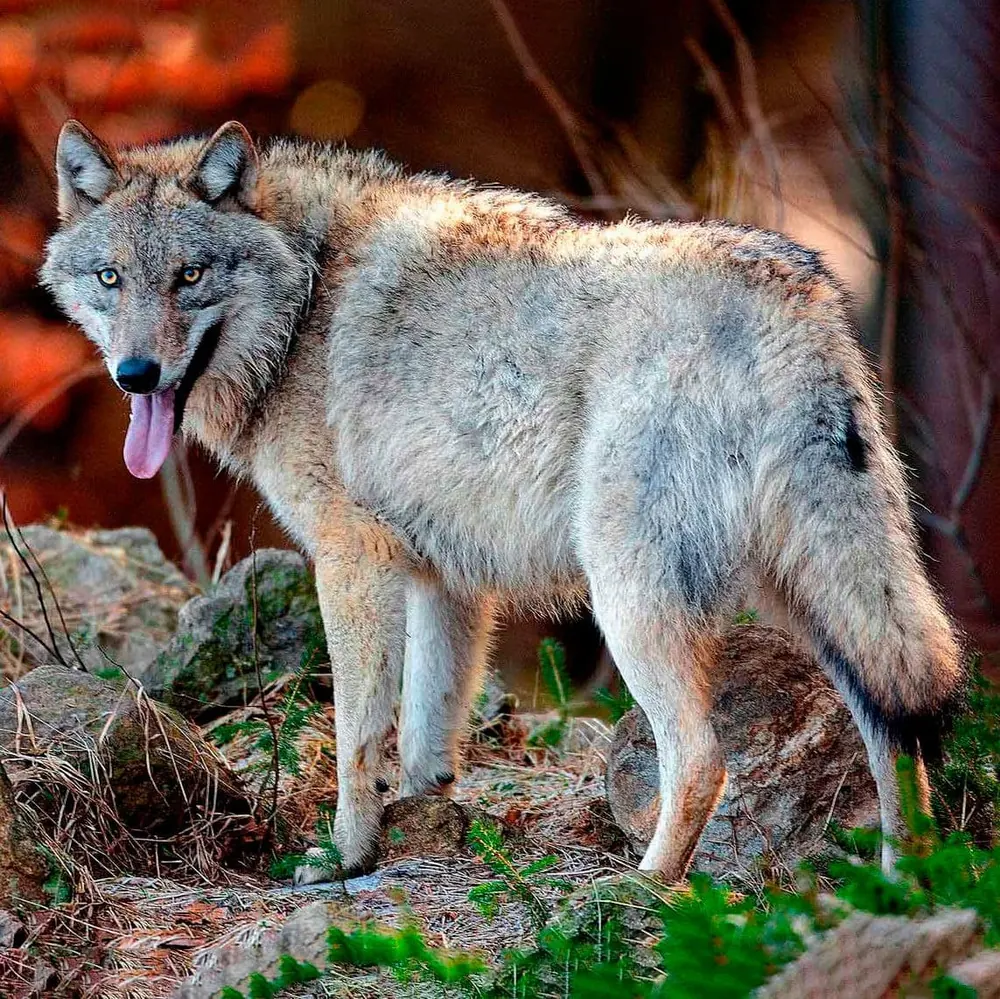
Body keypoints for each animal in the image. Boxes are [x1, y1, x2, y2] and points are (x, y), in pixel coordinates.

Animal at [41, 119, 962, 880]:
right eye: (111, 278)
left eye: (189, 276)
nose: (135, 375)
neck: (303, 299)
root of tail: (795, 299)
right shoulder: (443, 580)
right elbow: (426, 730)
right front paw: (420, 823)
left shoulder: (351, 561)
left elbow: (356, 735)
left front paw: (343, 857)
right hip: (818, 601)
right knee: (895, 736)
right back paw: (902, 888)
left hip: (633, 600)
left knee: (703, 758)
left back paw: (644, 887)